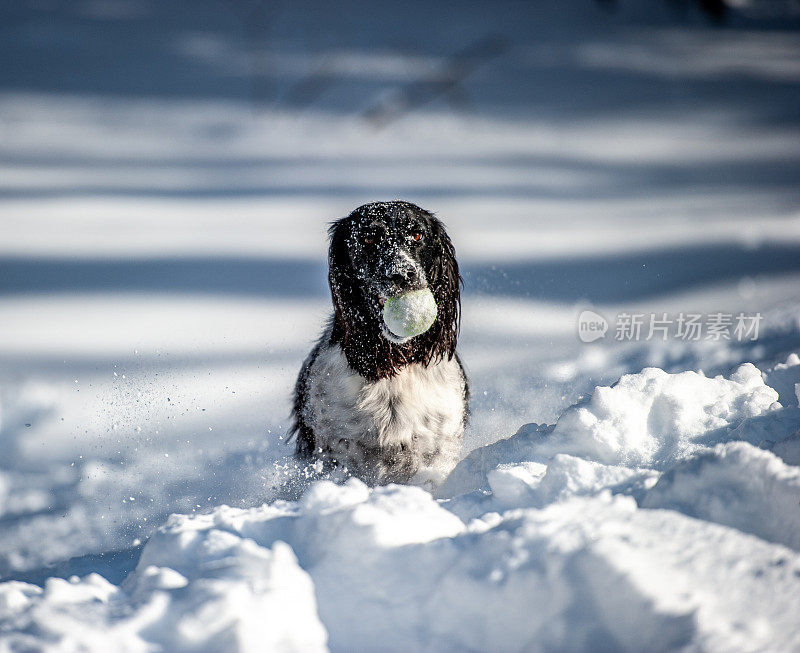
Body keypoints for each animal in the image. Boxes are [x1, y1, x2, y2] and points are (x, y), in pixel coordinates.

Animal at [290, 201, 468, 486]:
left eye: (417, 235)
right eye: (369, 238)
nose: (402, 274)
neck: (398, 359)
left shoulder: (439, 443)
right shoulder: (338, 452)